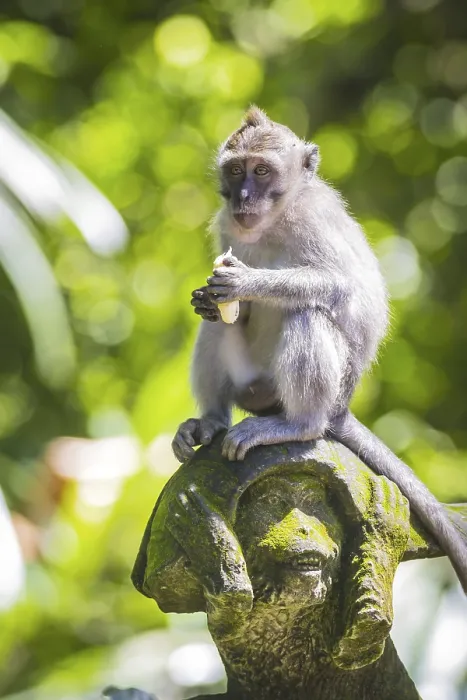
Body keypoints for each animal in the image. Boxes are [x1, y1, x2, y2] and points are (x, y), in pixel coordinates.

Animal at [171, 106, 467, 593]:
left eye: (261, 170)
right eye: (235, 171)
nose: (243, 197)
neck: (276, 218)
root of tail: (340, 409)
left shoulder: (315, 218)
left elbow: (340, 285)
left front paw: (246, 281)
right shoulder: (225, 225)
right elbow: (226, 312)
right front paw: (208, 300)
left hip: (323, 386)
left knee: (306, 312)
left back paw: (298, 424)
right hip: (254, 386)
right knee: (218, 332)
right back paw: (211, 421)